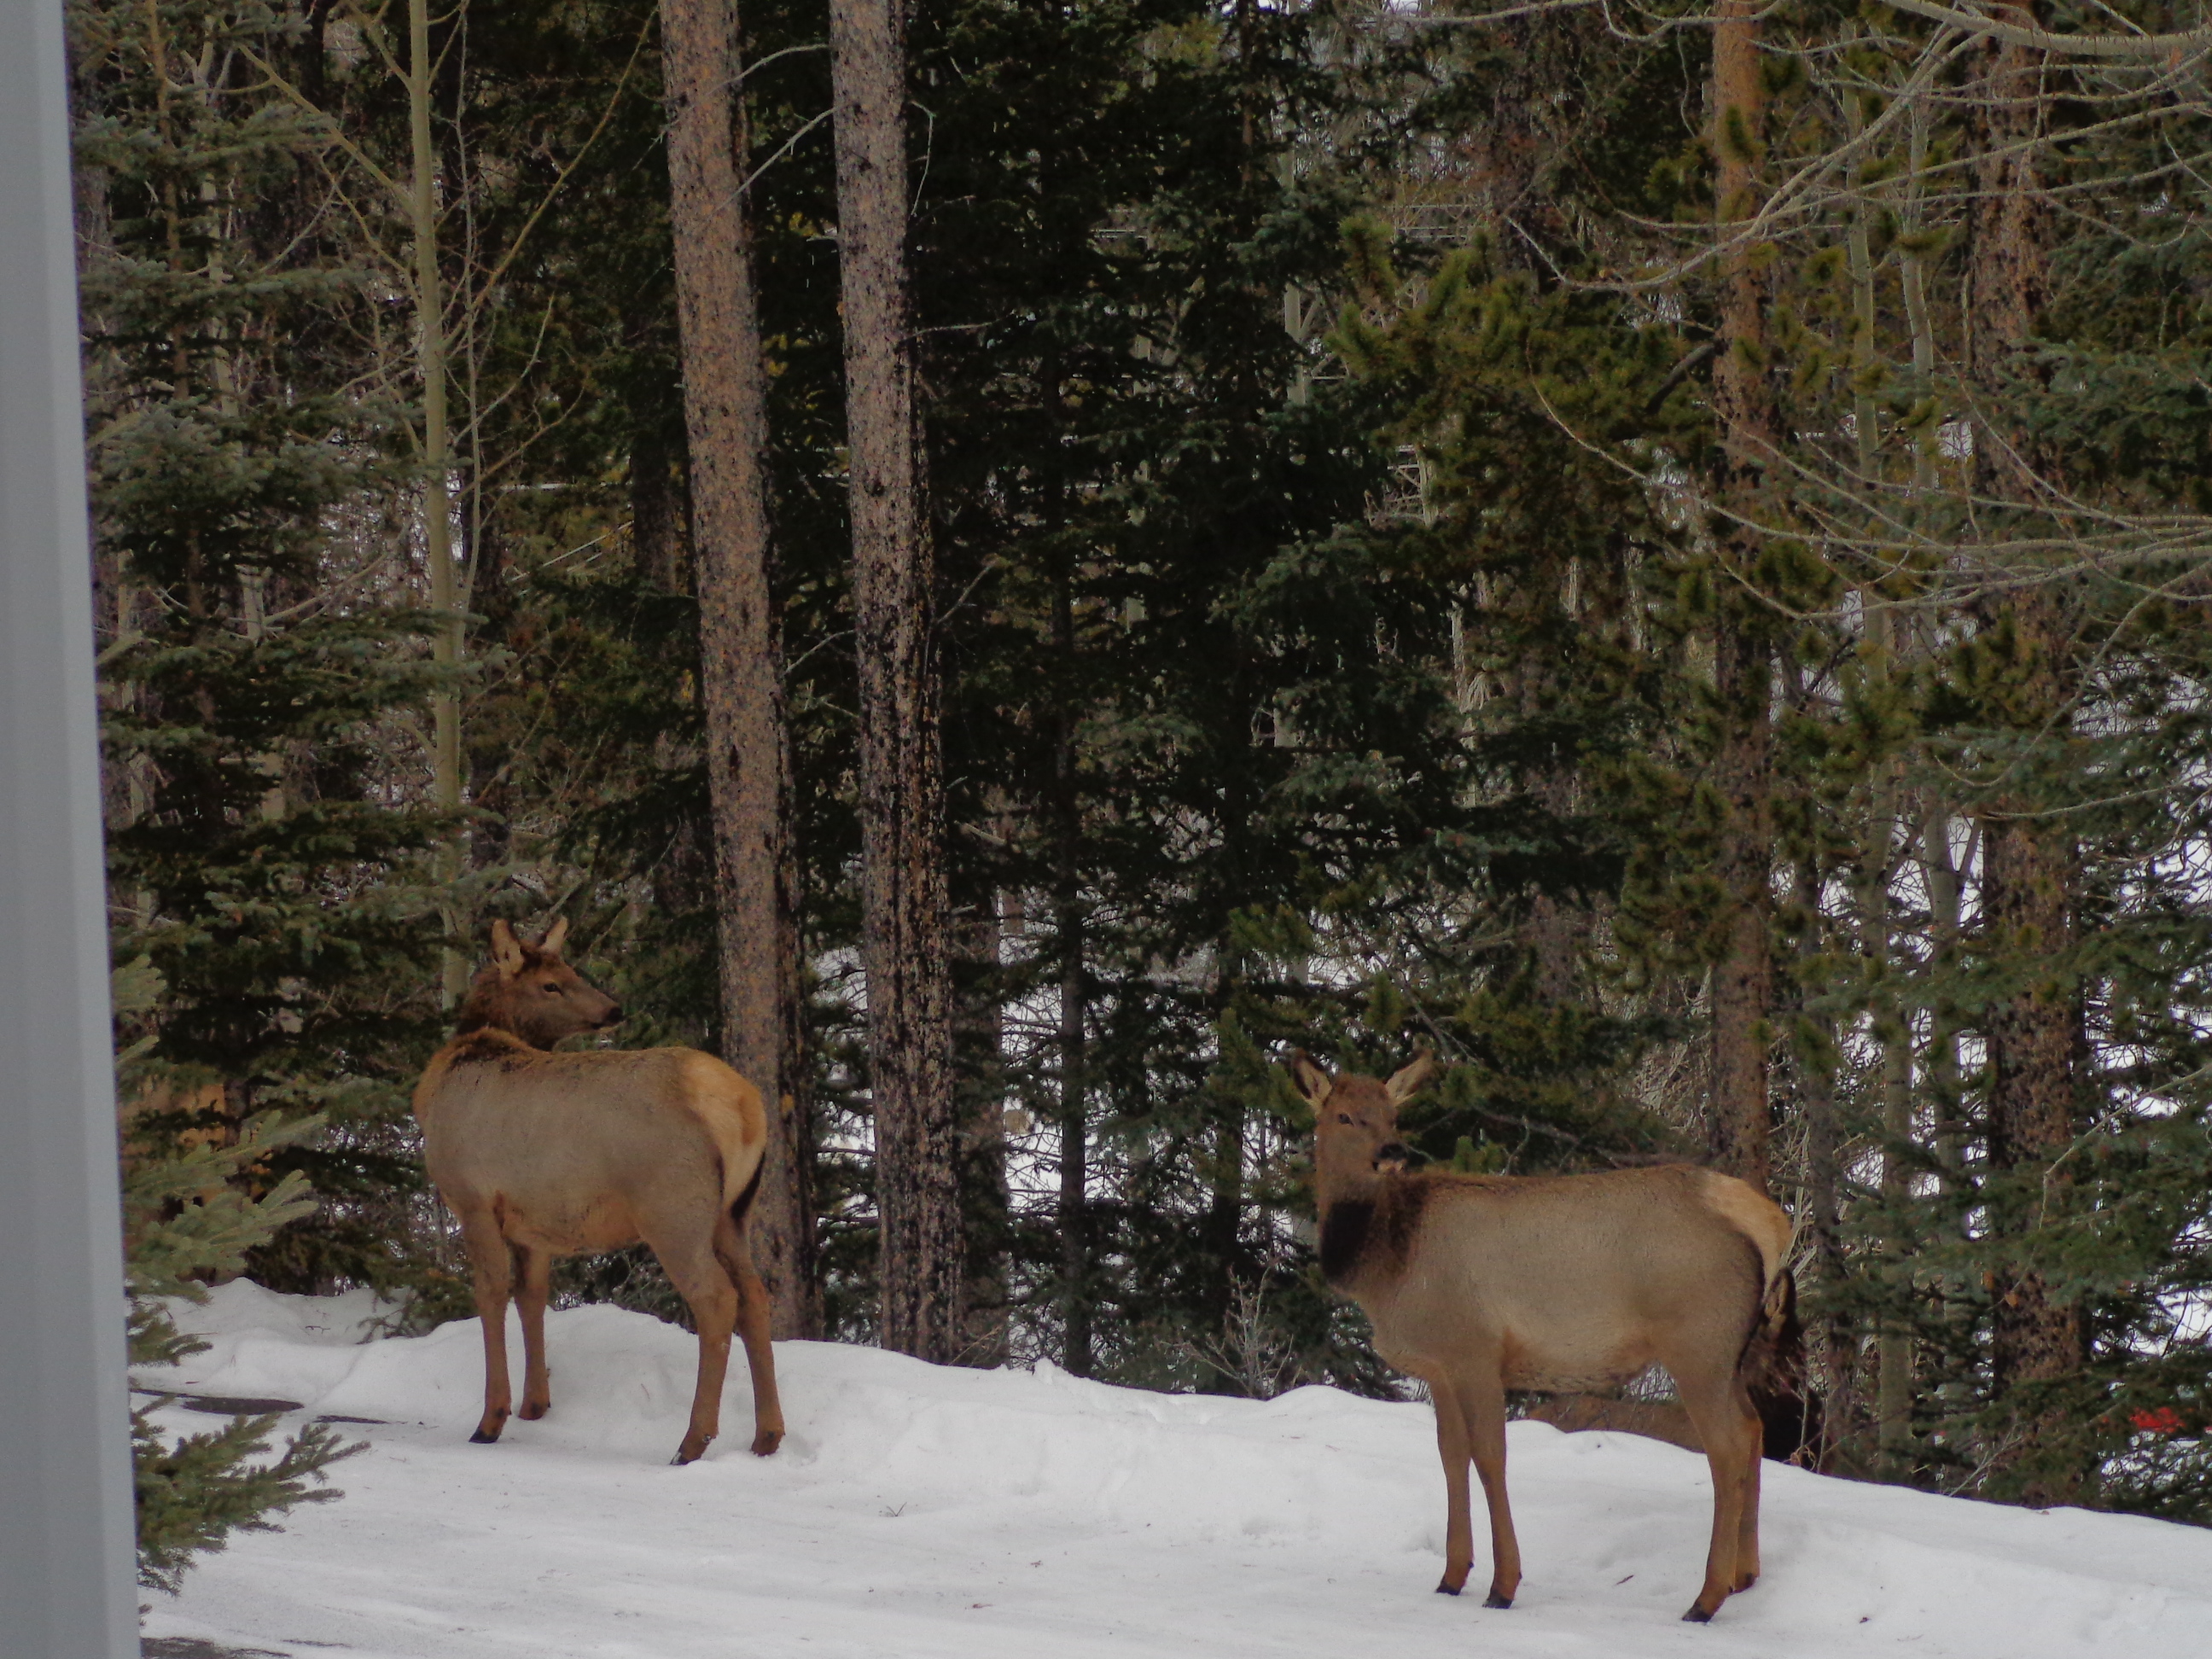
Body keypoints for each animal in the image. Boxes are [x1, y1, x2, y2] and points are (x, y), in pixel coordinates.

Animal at [412, 919, 784, 1465]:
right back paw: (767, 1436)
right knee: (755, 1296)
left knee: (717, 1299)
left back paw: (692, 1441)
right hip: (734, 1214)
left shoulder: (473, 1199)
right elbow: (531, 1297)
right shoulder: (532, 1221)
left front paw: (491, 1418)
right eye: (554, 982)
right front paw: (534, 1405)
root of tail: (742, 1106)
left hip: (674, 1209)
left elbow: (490, 1294)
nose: (613, 1009)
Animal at [1290, 1049, 1801, 1624]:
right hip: (1730, 1352)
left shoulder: (1474, 1350)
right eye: (1344, 1116)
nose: (1391, 1152)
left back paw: (1706, 1597)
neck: (1386, 1267)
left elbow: (1490, 1457)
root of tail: (1772, 1224)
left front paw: (1503, 1584)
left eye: (1391, 1114)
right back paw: (1745, 1574)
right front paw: (1451, 1575)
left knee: (1727, 1446)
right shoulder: (1439, 1367)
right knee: (1754, 1428)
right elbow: (1450, 1455)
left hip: (1698, 1344)